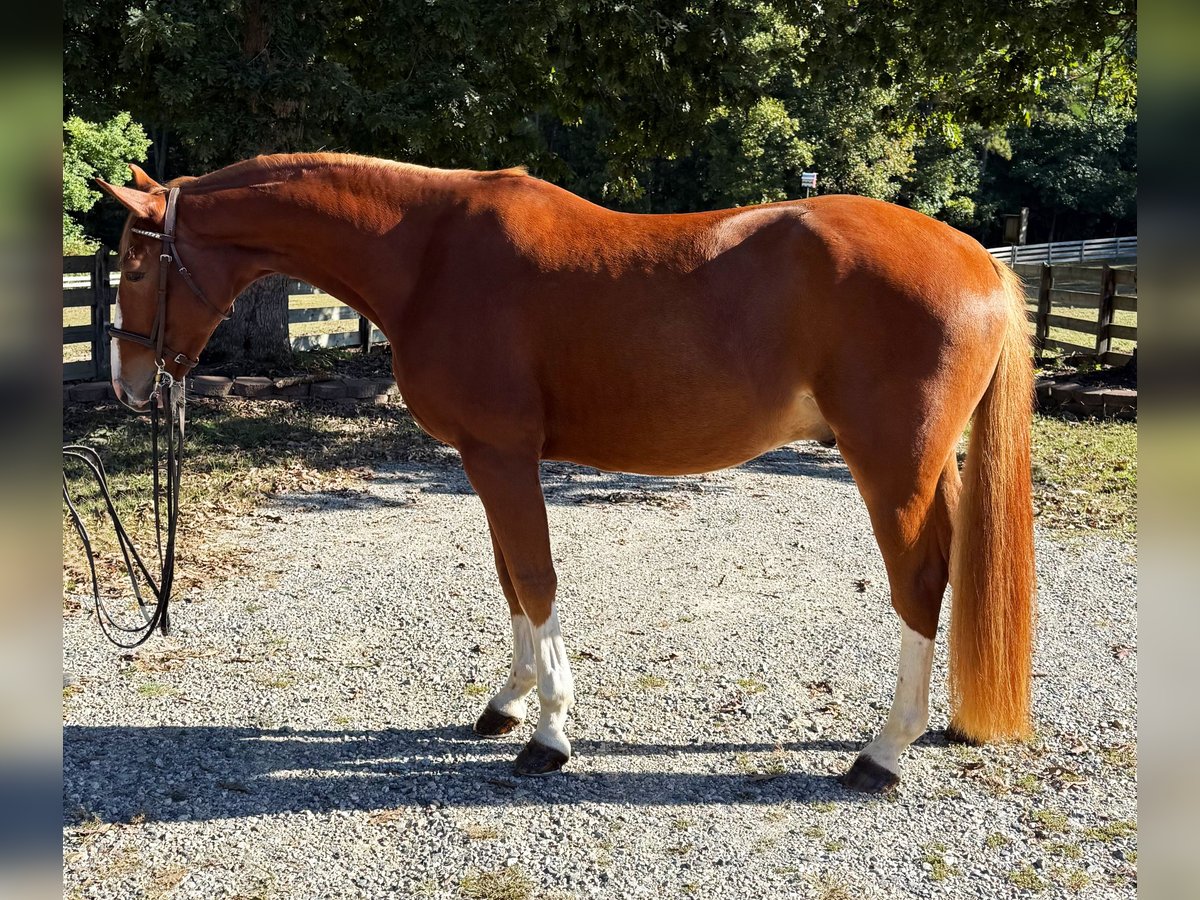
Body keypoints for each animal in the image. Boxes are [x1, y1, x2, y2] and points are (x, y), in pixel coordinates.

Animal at [96, 153, 1035, 791]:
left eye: (138, 264)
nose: (128, 384)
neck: (430, 257)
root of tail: (980, 259)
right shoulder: (487, 461)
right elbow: (510, 580)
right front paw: (507, 703)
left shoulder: (503, 457)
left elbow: (536, 578)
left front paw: (547, 734)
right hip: (929, 467)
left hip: (892, 463)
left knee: (919, 580)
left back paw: (883, 752)